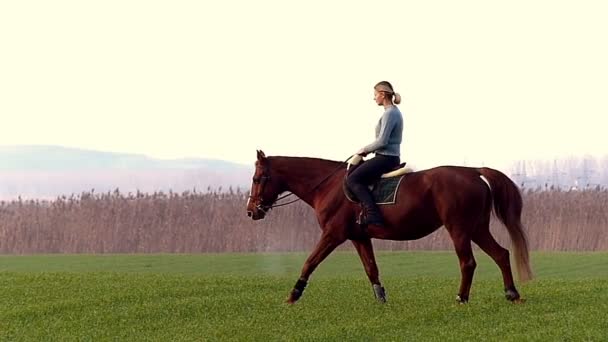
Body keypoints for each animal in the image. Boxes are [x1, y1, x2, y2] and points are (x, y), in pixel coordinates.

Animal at [246, 150, 532, 304]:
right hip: (477, 228)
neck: (328, 186)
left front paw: (293, 295)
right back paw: (512, 293)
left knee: (468, 263)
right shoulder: (359, 237)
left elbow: (310, 262)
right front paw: (381, 298)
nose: (251, 211)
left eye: (258, 178)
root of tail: (473, 172)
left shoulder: (333, 235)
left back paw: (461, 298)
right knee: (501, 254)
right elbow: (371, 269)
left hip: (459, 229)